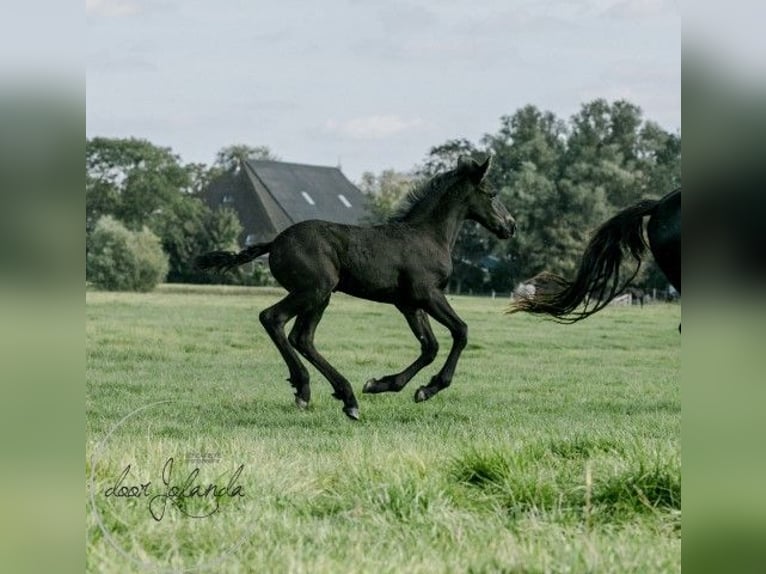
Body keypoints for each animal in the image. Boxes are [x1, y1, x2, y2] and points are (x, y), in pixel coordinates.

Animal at [197, 157, 515, 420]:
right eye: (492, 193)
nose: (511, 226)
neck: (427, 236)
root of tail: (274, 242)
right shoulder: (428, 294)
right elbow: (461, 331)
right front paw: (430, 388)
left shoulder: (409, 304)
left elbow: (430, 347)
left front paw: (383, 385)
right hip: (315, 290)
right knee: (273, 319)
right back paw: (320, 392)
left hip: (319, 297)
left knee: (302, 337)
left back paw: (333, 393)